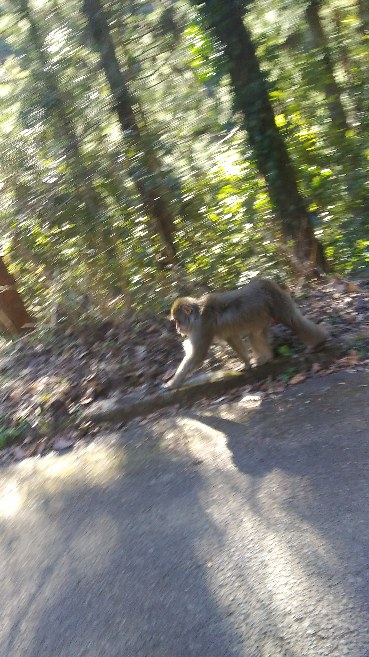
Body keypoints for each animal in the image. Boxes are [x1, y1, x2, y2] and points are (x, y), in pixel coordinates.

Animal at [165, 278, 326, 390]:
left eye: (178, 321)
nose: (178, 329)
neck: (196, 315)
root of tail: (267, 283)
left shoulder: (202, 327)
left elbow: (197, 356)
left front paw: (172, 383)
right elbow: (232, 337)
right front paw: (247, 364)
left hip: (277, 302)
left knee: (293, 321)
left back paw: (318, 342)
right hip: (262, 315)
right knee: (255, 335)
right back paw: (266, 358)